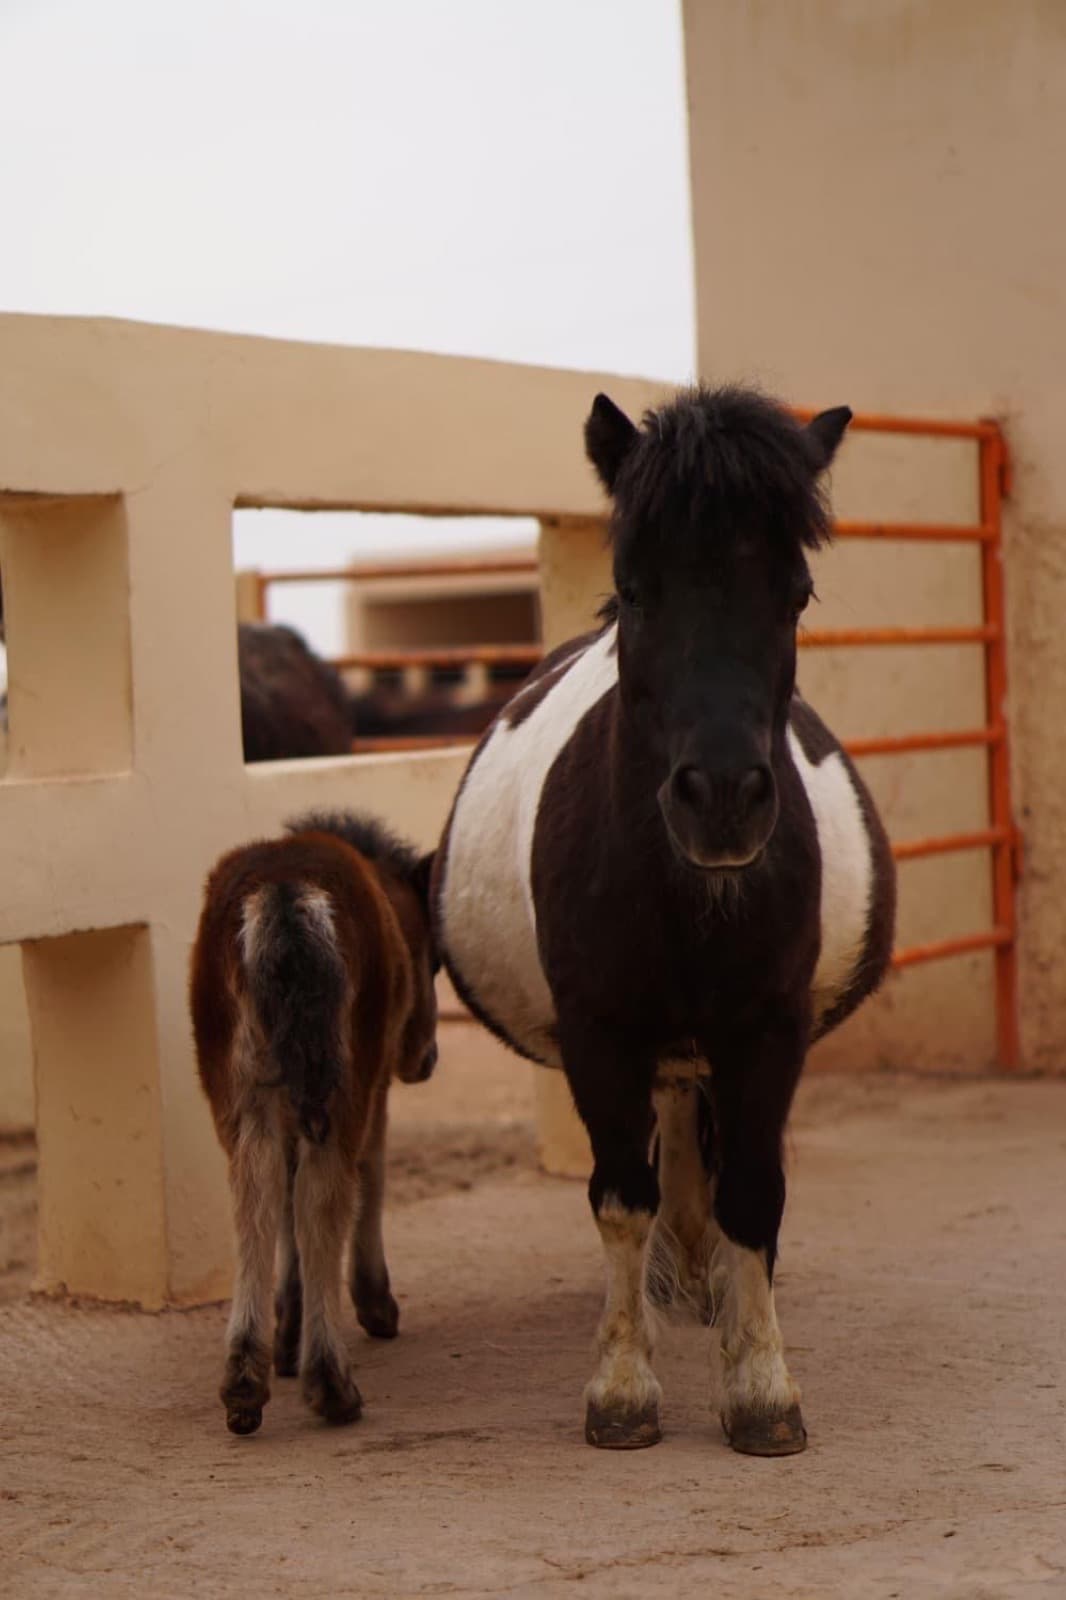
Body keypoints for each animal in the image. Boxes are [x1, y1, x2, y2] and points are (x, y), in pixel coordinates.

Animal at [190, 810, 439, 1435]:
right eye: (431, 958)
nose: (426, 1058)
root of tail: (281, 892)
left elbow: (280, 1200)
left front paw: (286, 1333)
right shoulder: (373, 1085)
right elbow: (370, 1178)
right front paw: (374, 1304)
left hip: (242, 1084)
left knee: (255, 1195)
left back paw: (245, 1384)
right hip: (341, 1079)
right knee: (323, 1196)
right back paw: (331, 1385)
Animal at [433, 385, 896, 1456]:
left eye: (795, 593)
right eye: (635, 592)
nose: (721, 798)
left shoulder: (767, 1032)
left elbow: (754, 1195)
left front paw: (761, 1387)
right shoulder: (598, 1035)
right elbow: (620, 1198)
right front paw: (622, 1387)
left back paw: (706, 1282)